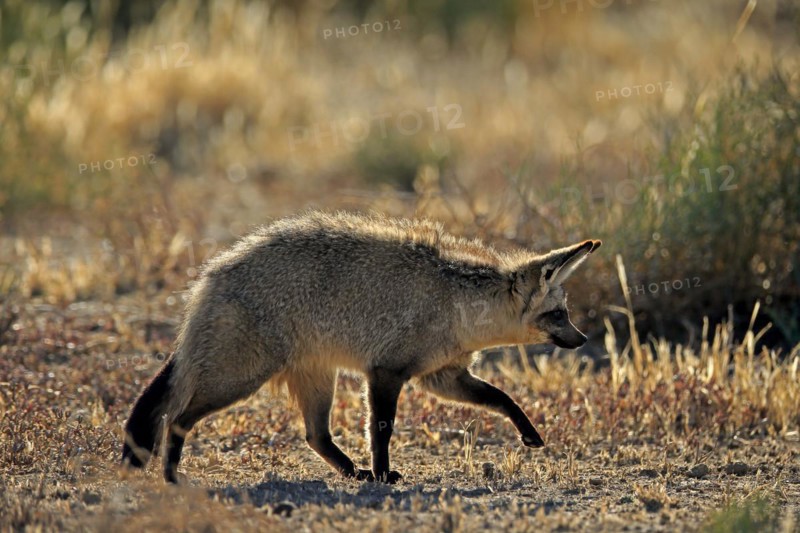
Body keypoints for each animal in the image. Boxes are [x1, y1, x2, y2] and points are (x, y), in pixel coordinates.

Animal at [121, 210, 601, 484]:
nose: (583, 340)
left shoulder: (443, 377)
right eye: (558, 315)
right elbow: (382, 429)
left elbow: (503, 398)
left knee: (316, 436)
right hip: (237, 381)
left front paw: (529, 433)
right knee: (177, 419)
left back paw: (356, 473)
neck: (457, 303)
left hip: (316, 380)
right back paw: (171, 477)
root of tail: (211, 274)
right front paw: (385, 473)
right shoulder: (386, 372)